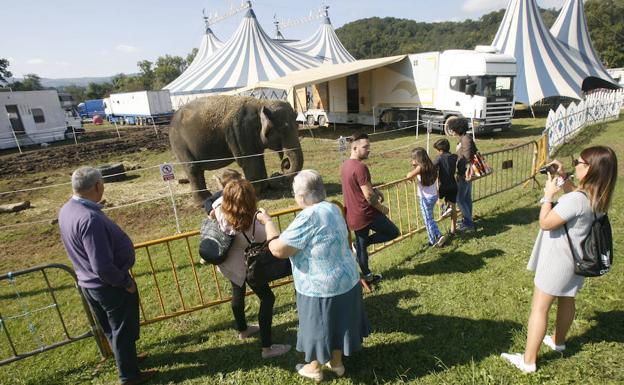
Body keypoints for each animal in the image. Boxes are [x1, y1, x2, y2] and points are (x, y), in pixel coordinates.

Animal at [168, 95, 304, 204]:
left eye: (298, 125)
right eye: (284, 129)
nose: (285, 164)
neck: (261, 103)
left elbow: (257, 157)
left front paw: (264, 188)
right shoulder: (240, 132)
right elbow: (248, 161)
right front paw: (255, 192)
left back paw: (208, 198)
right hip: (179, 144)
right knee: (193, 168)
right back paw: (201, 203)